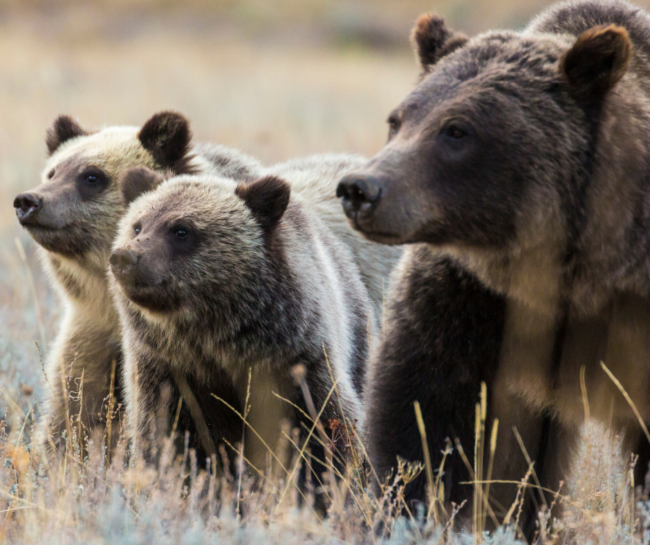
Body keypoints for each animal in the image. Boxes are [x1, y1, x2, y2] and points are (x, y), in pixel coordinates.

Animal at [108, 167, 373, 504]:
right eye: (137, 225)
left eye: (181, 230)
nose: (125, 258)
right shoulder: (169, 372)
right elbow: (167, 438)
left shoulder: (295, 362)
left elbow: (325, 432)